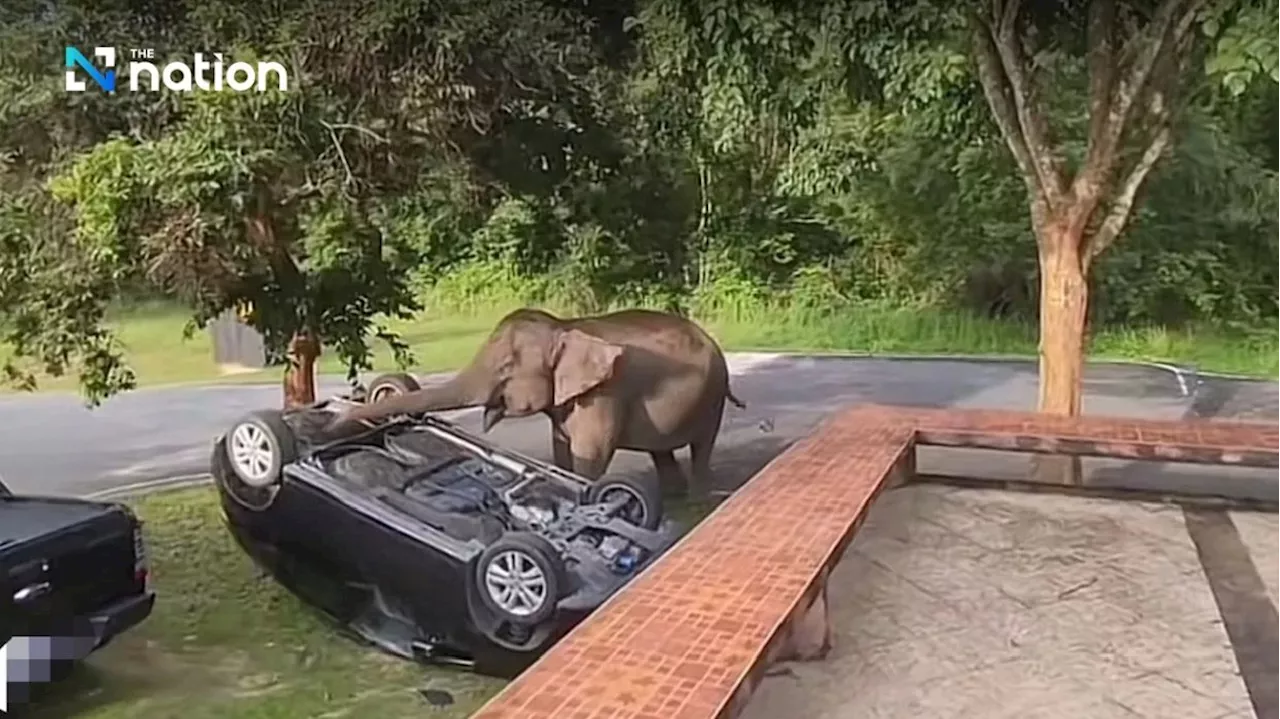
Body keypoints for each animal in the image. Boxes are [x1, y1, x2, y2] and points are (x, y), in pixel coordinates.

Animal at [335, 304, 747, 496]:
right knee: (661, 450)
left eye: (505, 367)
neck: (563, 327)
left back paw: (696, 498)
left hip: (712, 395)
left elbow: (590, 456)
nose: (341, 418)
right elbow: (561, 447)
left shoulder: (604, 394)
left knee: (702, 443)